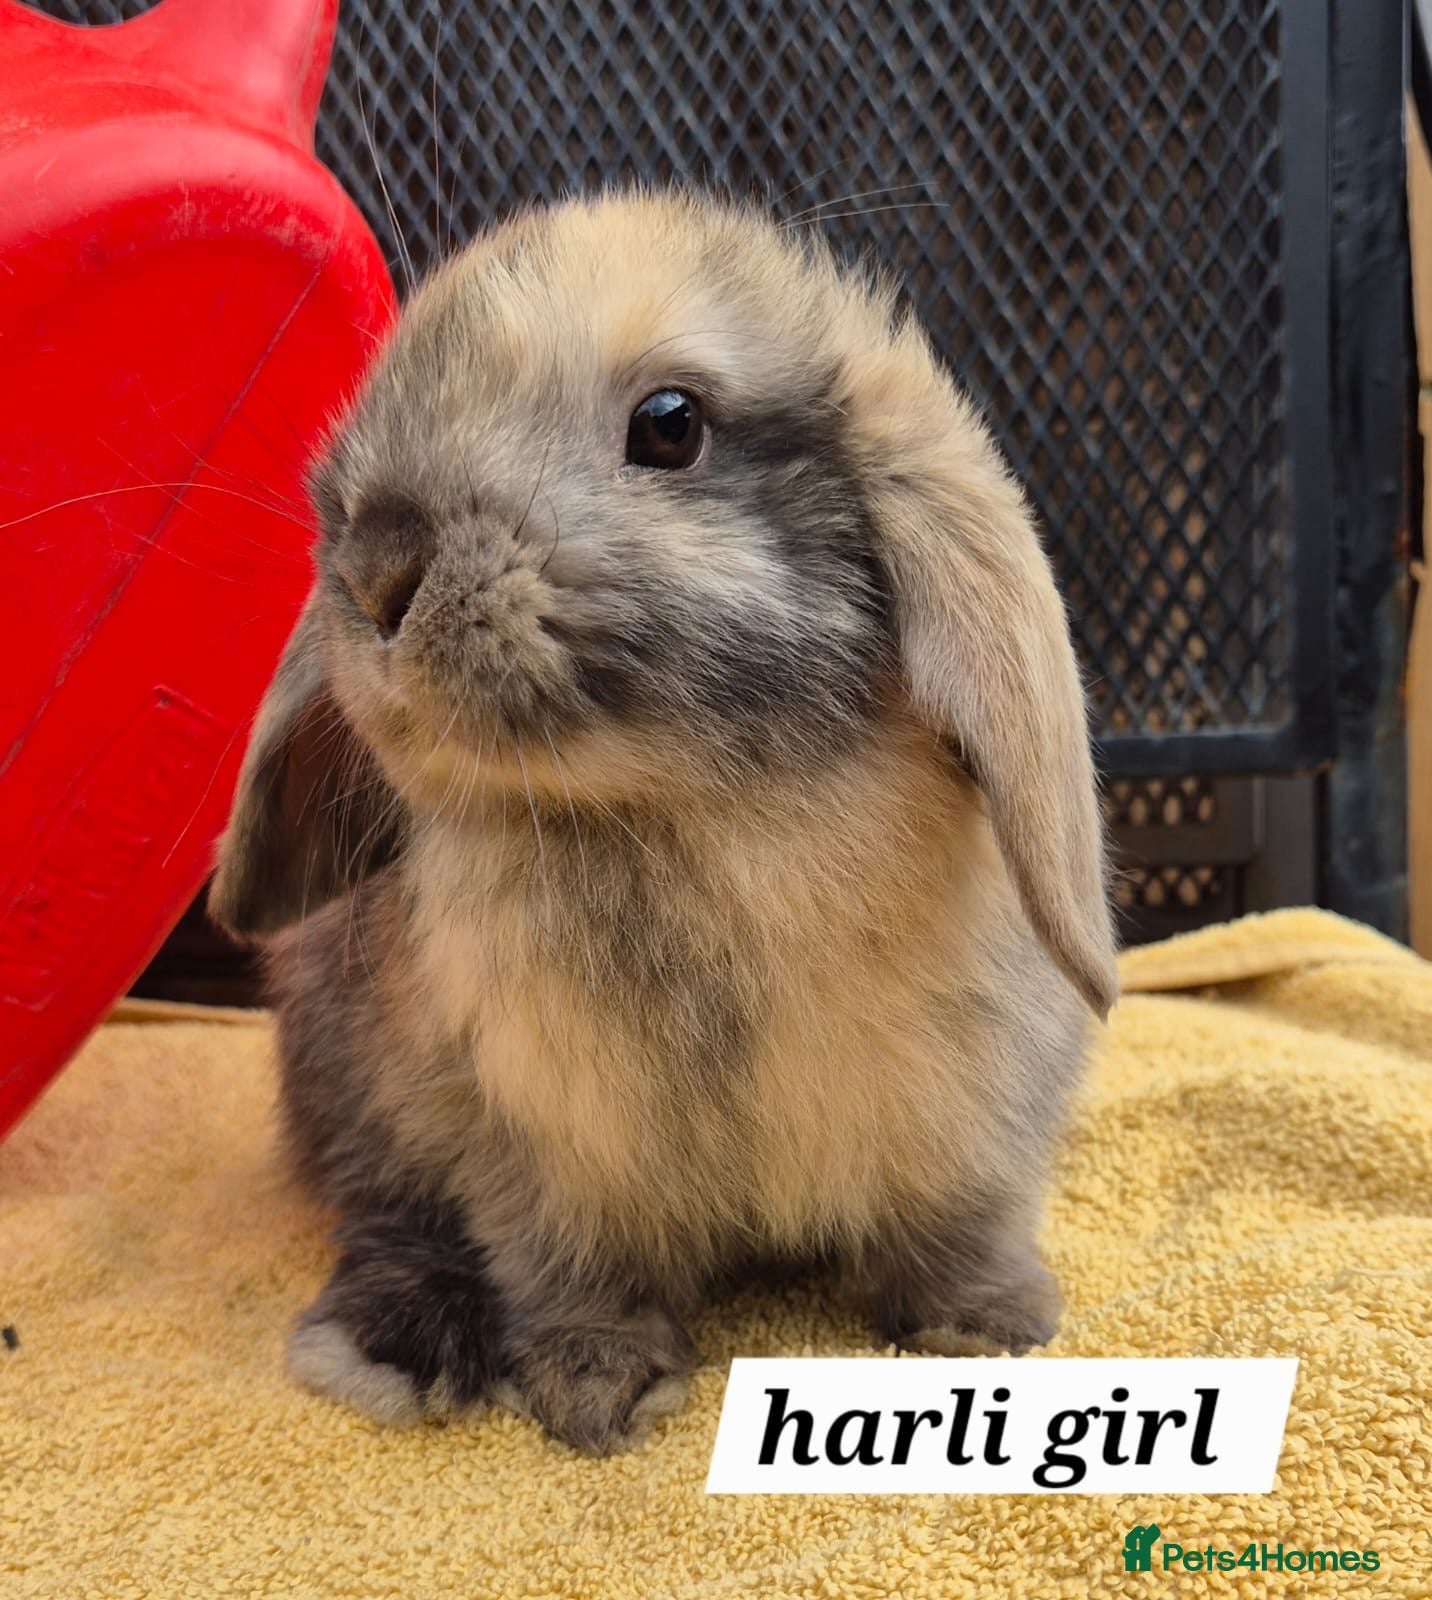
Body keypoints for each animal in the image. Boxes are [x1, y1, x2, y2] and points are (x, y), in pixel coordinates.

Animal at [209, 188, 1118, 1457]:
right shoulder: (538, 1140)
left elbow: (959, 1223)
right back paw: (394, 1349)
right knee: (386, 1212)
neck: (686, 805)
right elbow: (571, 1274)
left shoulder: (974, 1115)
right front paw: (597, 1394)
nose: (379, 566)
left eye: (670, 424)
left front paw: (989, 1325)